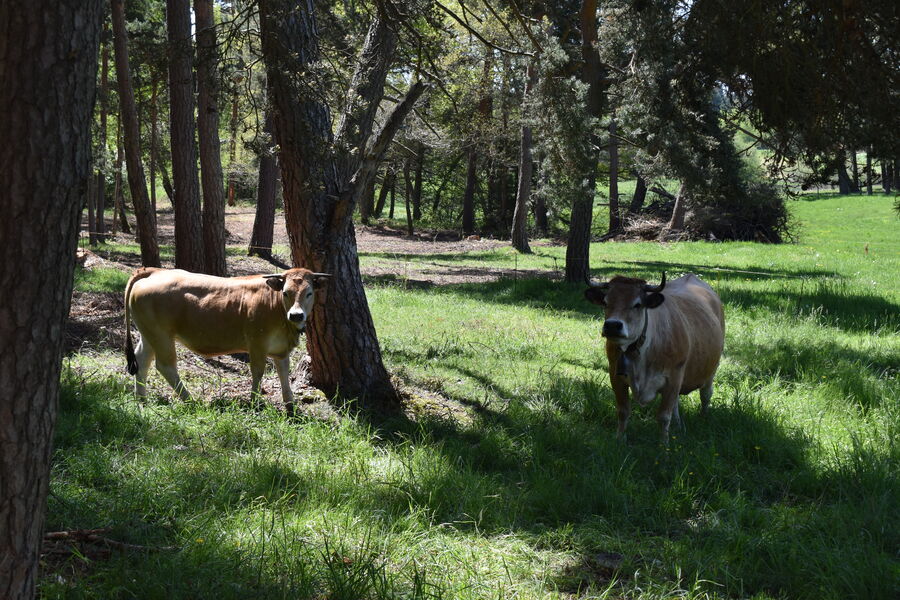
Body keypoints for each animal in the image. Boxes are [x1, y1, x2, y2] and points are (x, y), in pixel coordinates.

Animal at [124, 267, 330, 407]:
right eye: (286, 292)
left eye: (309, 293)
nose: (296, 315)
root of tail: (155, 271)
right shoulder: (257, 343)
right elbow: (258, 371)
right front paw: (255, 402)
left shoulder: (280, 349)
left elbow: (284, 373)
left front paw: (290, 405)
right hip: (161, 335)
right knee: (165, 366)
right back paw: (190, 399)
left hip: (149, 333)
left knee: (142, 360)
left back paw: (141, 398)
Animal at [584, 272, 725, 443]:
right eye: (605, 302)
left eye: (637, 304)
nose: (612, 325)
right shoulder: (615, 375)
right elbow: (623, 411)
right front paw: (620, 440)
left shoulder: (674, 377)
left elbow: (664, 416)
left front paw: (664, 445)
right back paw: (678, 425)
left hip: (712, 367)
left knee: (706, 394)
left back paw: (703, 418)